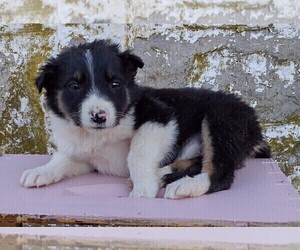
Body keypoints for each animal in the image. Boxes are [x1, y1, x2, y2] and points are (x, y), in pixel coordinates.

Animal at [19, 39, 270, 199]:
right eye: (73, 86)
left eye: (115, 84)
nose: (99, 116)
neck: (99, 136)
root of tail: (255, 124)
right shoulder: (86, 156)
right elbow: (62, 159)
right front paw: (41, 171)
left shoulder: (160, 117)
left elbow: (136, 154)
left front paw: (143, 190)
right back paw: (163, 174)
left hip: (221, 120)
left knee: (220, 173)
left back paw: (183, 186)